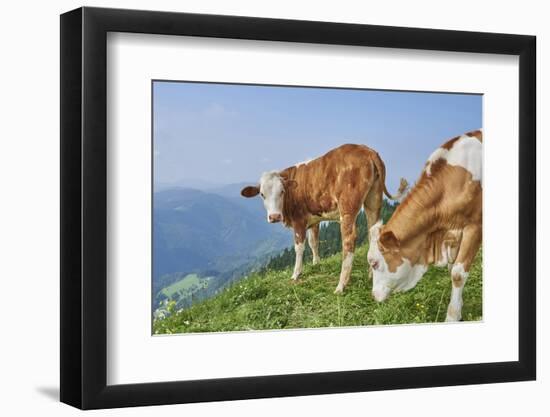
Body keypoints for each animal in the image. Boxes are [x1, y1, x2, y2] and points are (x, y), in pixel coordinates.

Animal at [242, 143, 410, 292]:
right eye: (262, 194)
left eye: (282, 191)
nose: (274, 216)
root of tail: (367, 150)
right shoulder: (314, 219)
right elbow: (313, 242)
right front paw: (316, 263)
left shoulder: (299, 220)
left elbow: (299, 247)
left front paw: (296, 274)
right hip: (373, 199)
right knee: (373, 232)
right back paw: (371, 273)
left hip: (347, 206)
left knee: (348, 241)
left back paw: (341, 286)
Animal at [370, 128, 484, 320]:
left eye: (374, 264)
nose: (373, 295)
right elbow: (452, 268)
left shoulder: (475, 226)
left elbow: (458, 274)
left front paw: (452, 317)